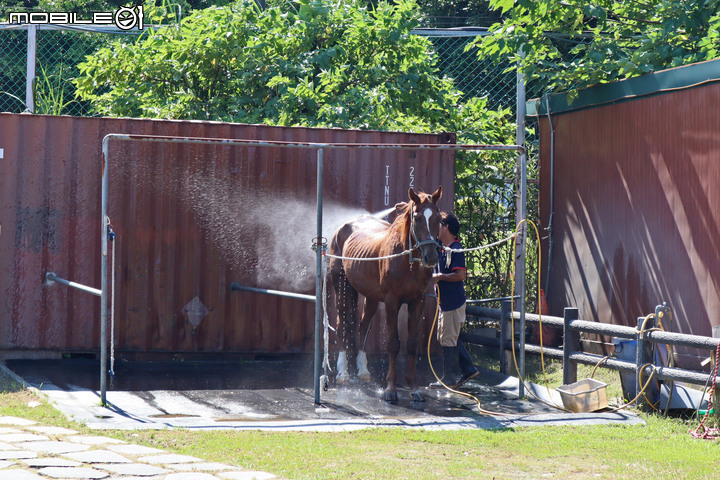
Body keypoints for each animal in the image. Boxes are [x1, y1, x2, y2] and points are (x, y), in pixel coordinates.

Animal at [330, 187, 442, 402]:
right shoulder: (392, 301)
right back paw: (343, 372)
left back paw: (363, 370)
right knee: (342, 324)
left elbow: (412, 344)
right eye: (417, 218)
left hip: (371, 296)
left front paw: (414, 388)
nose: (431, 257)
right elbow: (393, 344)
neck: (407, 260)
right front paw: (391, 389)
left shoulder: (418, 302)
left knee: (363, 325)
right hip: (341, 287)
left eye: (439, 219)